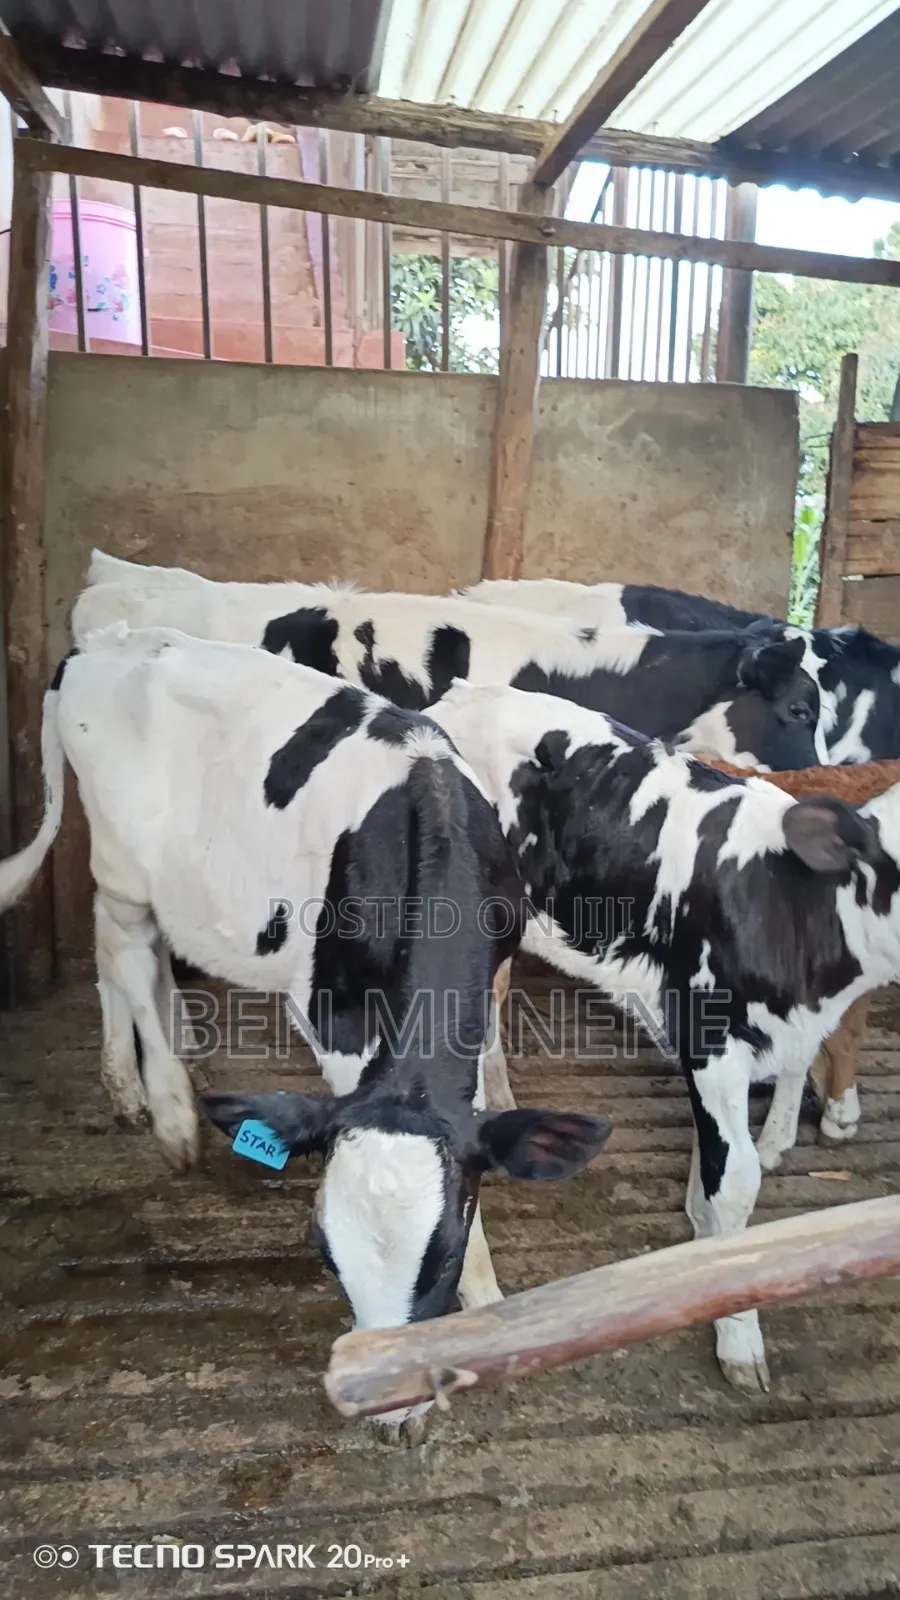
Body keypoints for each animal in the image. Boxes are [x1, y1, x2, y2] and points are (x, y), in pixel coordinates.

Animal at [0, 625, 612, 1432]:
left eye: (442, 1254)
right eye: (325, 1247)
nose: (387, 1408)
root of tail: (103, 641)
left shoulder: (495, 959)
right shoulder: (333, 1013)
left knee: (127, 949)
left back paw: (134, 1077)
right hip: (120, 861)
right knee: (122, 950)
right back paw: (167, 1109)